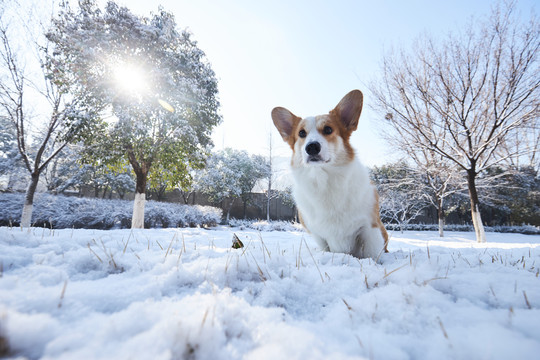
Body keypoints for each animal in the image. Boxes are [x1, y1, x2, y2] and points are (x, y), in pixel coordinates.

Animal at [272, 89, 386, 258]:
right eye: (301, 133)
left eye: (328, 130)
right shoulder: (319, 236)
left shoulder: (370, 228)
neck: (324, 180)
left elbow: (372, 254)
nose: (312, 147)